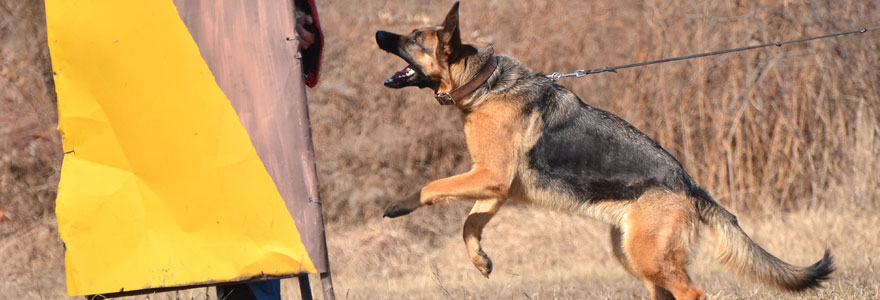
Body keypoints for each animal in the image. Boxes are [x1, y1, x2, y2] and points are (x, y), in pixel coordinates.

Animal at [374, 2, 836, 300]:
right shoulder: (494, 186)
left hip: (647, 258)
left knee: (694, 293)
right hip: (634, 255)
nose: (378, 33)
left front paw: (399, 206)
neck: (482, 82)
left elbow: (433, 187)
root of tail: (690, 185)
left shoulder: (489, 178)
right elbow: (469, 224)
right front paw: (481, 261)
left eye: (413, 38)